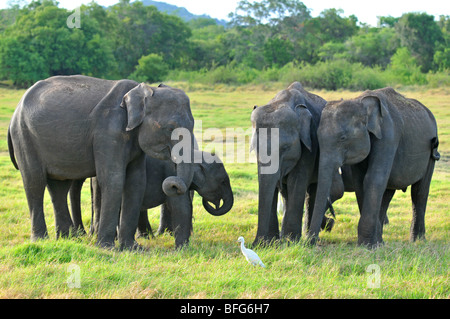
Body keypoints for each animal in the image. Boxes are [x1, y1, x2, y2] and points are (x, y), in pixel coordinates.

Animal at [7, 75, 195, 250]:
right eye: (171, 128)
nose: (173, 185)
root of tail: (15, 111)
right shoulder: (108, 132)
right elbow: (113, 179)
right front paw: (106, 247)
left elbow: (136, 182)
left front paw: (132, 248)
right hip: (24, 136)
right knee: (34, 182)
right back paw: (41, 240)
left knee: (59, 187)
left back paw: (67, 238)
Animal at [250, 82, 342, 245]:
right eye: (254, 148)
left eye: (285, 148)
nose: (256, 244)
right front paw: (272, 243)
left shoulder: (310, 143)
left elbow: (297, 181)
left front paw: (289, 242)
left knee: (312, 191)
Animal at [308, 87, 442, 248]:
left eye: (343, 138)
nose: (310, 243)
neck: (361, 103)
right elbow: (360, 183)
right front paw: (374, 244)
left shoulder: (389, 136)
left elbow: (372, 179)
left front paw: (367, 246)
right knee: (387, 194)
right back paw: (382, 241)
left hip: (430, 154)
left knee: (419, 192)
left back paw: (418, 240)